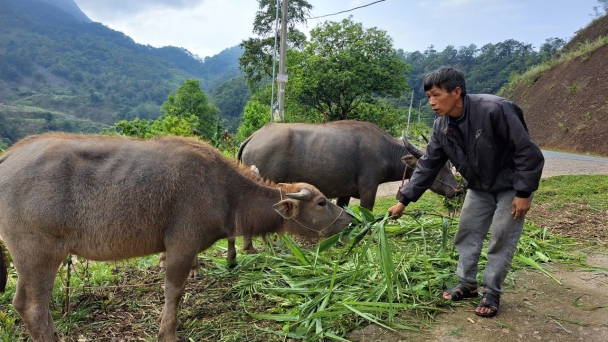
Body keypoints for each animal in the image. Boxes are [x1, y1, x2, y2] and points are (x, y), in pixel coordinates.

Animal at [0, 133, 352, 342]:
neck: (224, 189)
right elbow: (174, 292)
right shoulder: (182, 245)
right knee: (33, 306)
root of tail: (8, 157)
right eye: (322, 203)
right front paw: (169, 331)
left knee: (23, 304)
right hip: (39, 253)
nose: (349, 220)